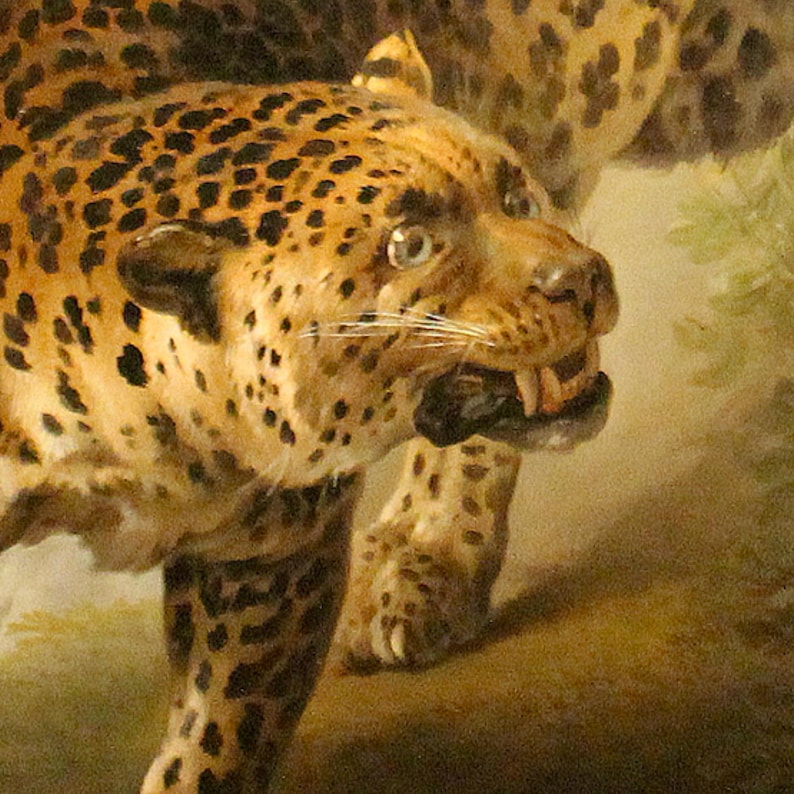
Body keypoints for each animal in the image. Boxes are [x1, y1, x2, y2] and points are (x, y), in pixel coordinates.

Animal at [0, 0, 791, 791]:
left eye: (513, 195)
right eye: (409, 245)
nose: (582, 277)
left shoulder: (279, 553)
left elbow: (218, 740)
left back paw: (422, 561)